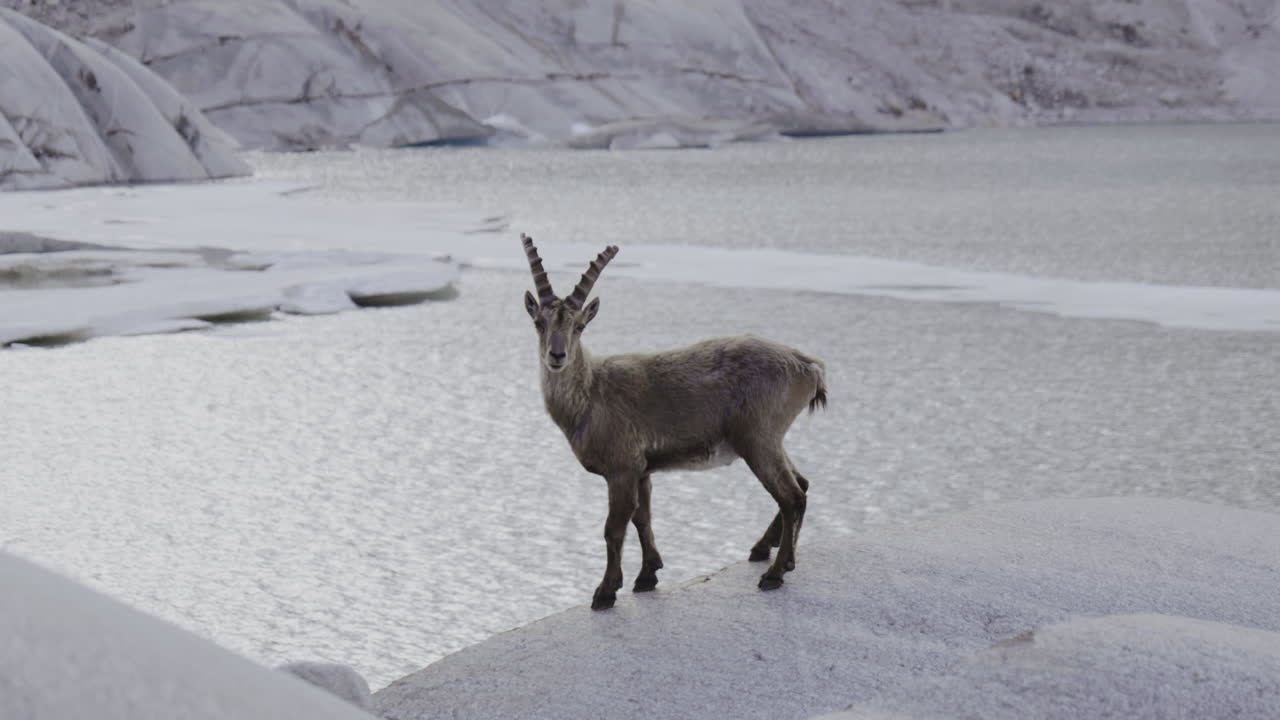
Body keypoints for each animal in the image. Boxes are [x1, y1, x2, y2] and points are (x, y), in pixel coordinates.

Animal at [521, 234, 827, 610]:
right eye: (539, 323)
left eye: (579, 326)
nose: (557, 355)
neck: (591, 392)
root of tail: (807, 366)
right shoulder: (642, 469)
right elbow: (643, 518)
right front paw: (646, 576)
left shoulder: (621, 468)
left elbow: (614, 529)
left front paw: (605, 592)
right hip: (770, 439)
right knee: (802, 484)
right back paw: (766, 551)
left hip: (758, 438)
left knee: (791, 496)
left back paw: (774, 573)